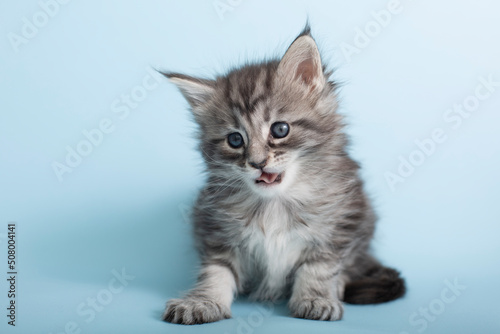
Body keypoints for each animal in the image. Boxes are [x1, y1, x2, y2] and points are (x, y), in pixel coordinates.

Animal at [162, 26, 404, 324]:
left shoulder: (340, 224)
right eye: (235, 140)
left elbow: (319, 267)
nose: (257, 162)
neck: (274, 203)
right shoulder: (215, 229)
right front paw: (202, 302)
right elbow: (215, 271)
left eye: (280, 129)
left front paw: (315, 298)